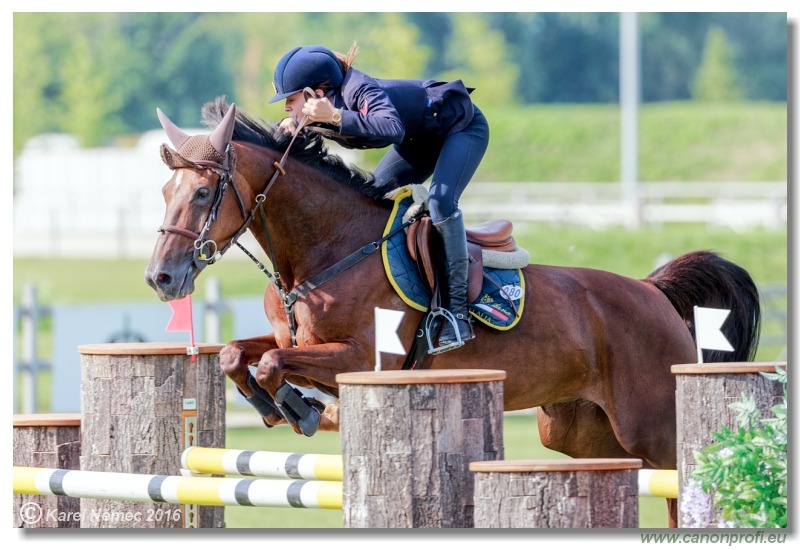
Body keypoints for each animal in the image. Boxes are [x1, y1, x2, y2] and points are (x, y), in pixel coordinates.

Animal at [145, 97, 764, 528]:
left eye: (203, 194)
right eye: (165, 192)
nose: (161, 278)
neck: (328, 250)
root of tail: (652, 291)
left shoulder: (362, 360)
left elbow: (274, 363)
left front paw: (300, 408)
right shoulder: (297, 340)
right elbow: (237, 354)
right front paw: (273, 406)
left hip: (651, 425)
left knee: (685, 477)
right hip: (577, 435)